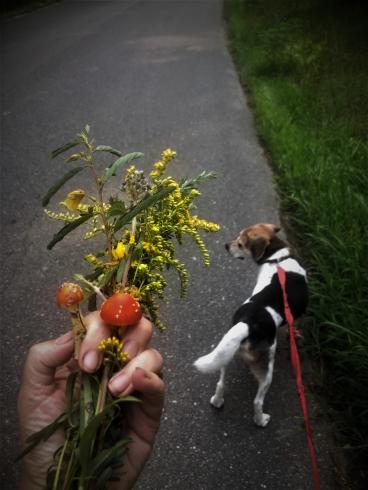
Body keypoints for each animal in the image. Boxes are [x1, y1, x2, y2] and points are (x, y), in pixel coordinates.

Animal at [194, 224, 310, 426]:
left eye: (240, 243)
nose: (226, 245)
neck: (276, 257)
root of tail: (247, 324)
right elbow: (291, 327)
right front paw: (294, 335)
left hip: (226, 354)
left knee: (220, 383)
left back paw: (217, 401)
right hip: (267, 369)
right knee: (257, 401)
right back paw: (261, 420)